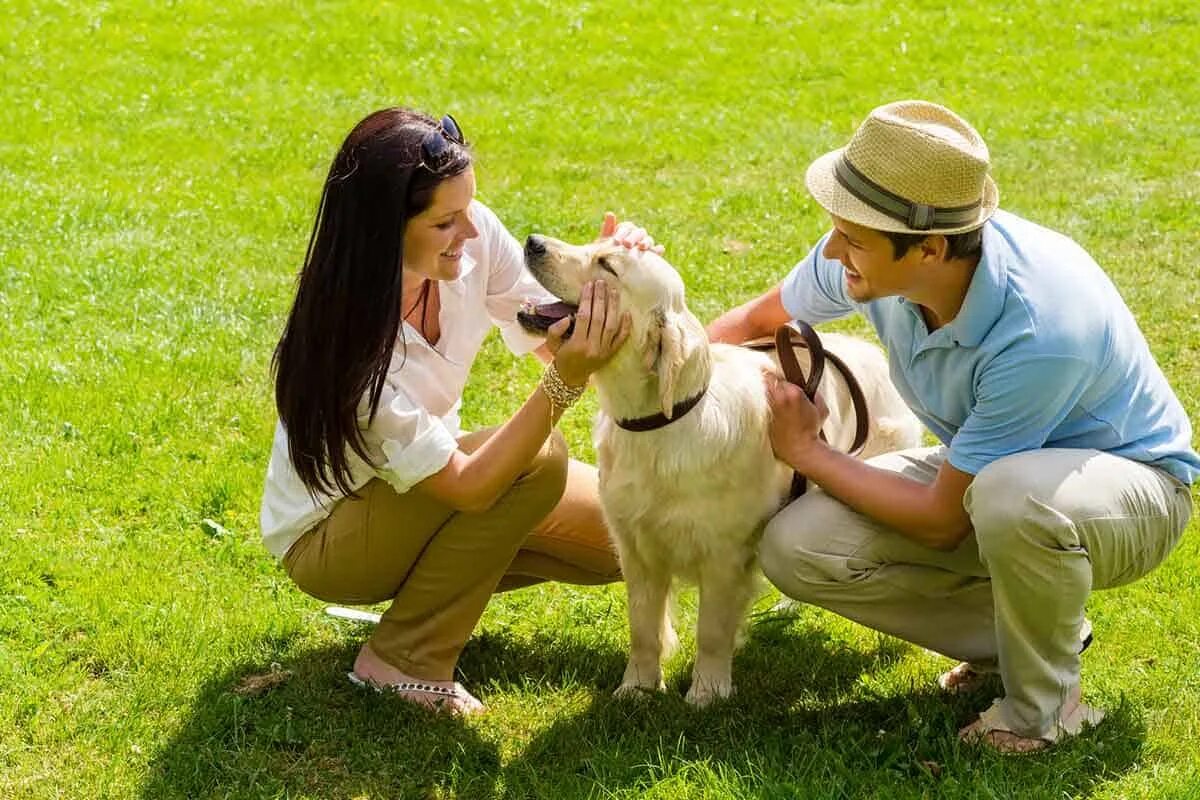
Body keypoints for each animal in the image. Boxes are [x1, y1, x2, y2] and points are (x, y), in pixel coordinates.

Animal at [516, 232, 916, 705]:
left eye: (607, 265)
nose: (533, 242)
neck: (661, 423)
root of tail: (870, 350)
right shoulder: (635, 549)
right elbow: (643, 628)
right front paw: (637, 687)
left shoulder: (725, 555)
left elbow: (711, 630)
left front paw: (707, 691)